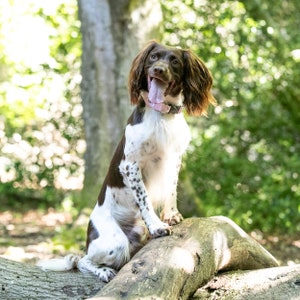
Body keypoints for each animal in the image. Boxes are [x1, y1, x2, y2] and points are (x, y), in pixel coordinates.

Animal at [38, 39, 216, 282]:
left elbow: (171, 191)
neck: (161, 116)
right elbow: (145, 198)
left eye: (175, 62)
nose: (158, 70)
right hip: (115, 242)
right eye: (153, 57)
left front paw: (171, 215)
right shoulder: (130, 165)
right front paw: (157, 226)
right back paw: (103, 271)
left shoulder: (175, 159)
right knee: (81, 260)